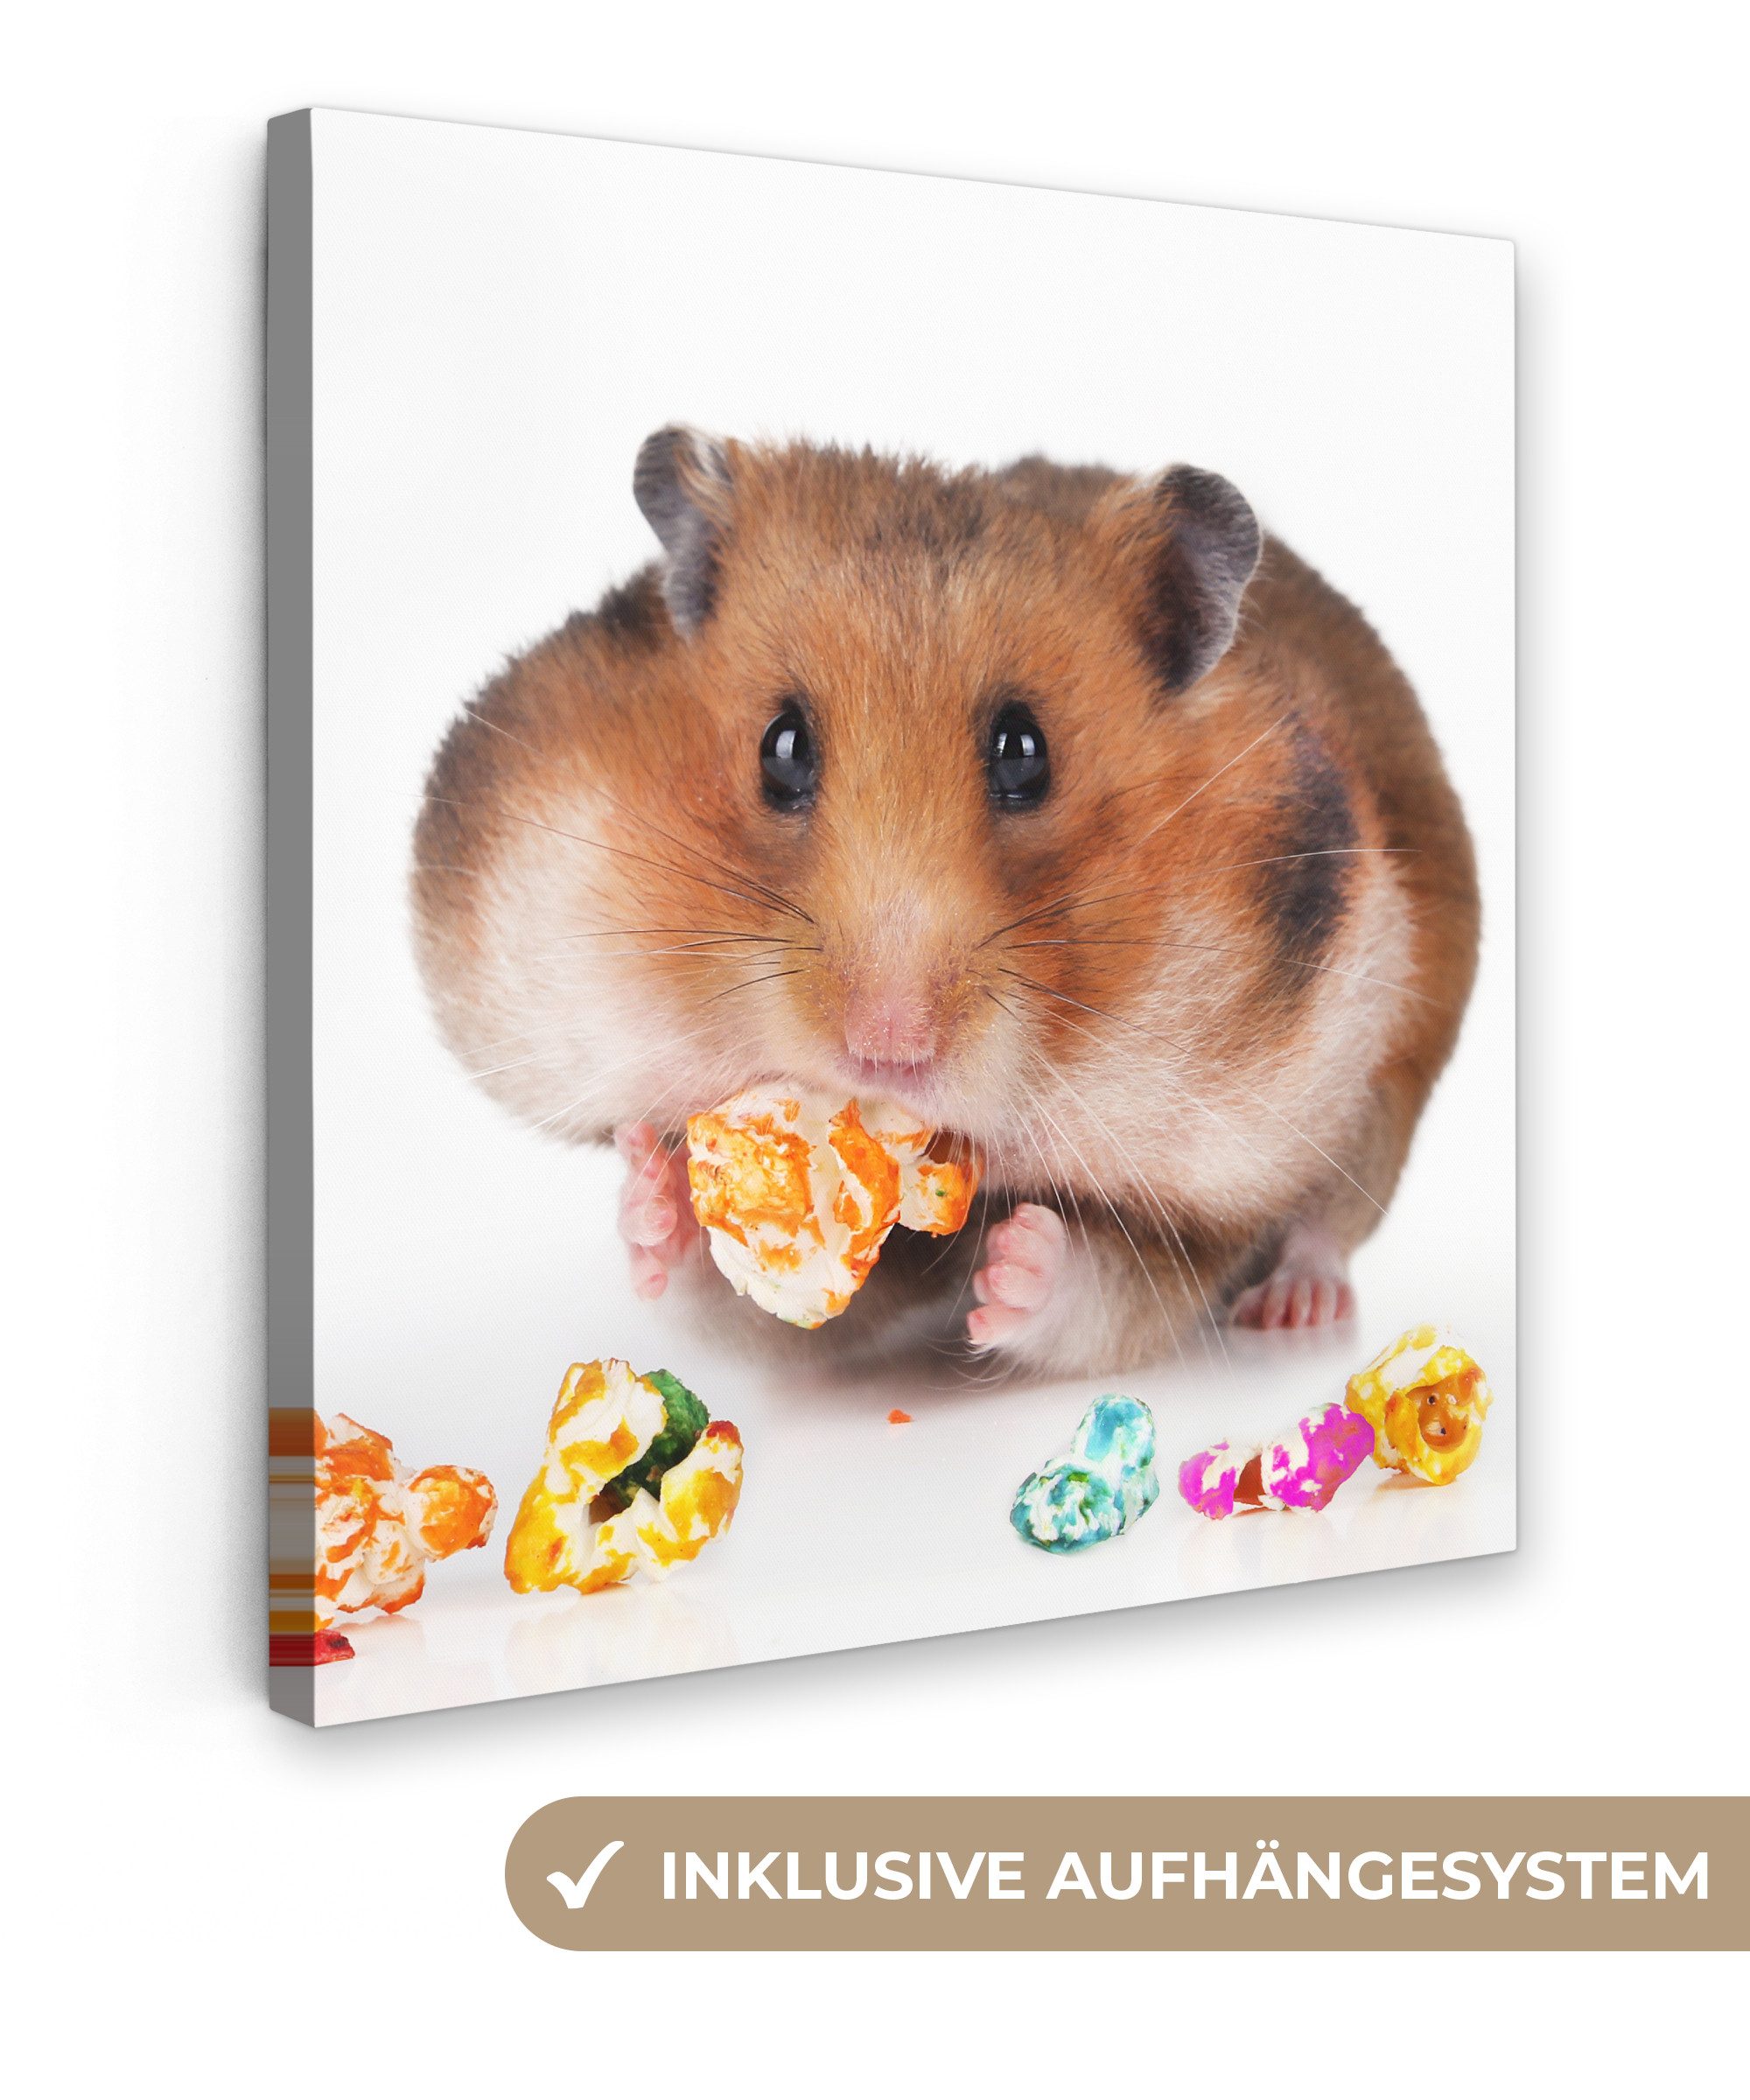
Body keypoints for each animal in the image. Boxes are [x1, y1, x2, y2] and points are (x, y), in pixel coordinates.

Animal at [411, 428, 1479, 1378]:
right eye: (781, 748)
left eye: (1024, 754)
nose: (887, 1050)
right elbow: (740, 1305)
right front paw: (651, 1188)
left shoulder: (1218, 1182)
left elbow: (1108, 1296)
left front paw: (1012, 1262)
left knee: (1330, 1226)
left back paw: (1296, 1306)